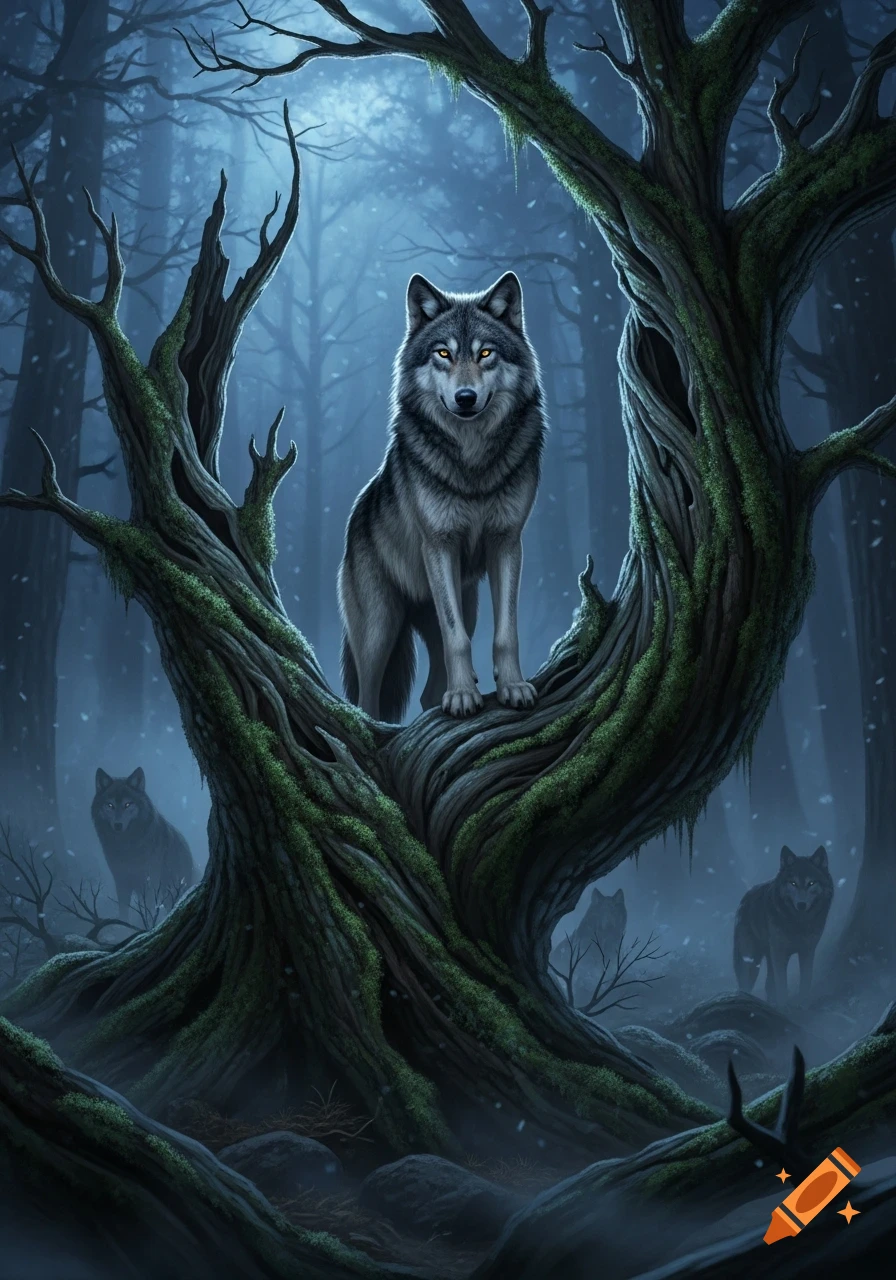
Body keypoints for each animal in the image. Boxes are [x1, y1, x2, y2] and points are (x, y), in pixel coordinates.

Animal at [92, 767, 197, 919]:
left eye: (127, 804)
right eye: (110, 805)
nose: (118, 825)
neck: (126, 846)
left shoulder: (150, 883)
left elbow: (148, 911)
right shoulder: (121, 881)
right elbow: (123, 912)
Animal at [338, 271, 547, 721]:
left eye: (485, 352)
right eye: (443, 354)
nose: (465, 398)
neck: (472, 463)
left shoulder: (507, 543)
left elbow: (506, 632)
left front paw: (513, 687)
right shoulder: (439, 546)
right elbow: (457, 640)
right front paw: (465, 697)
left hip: (464, 605)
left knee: (427, 693)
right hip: (379, 629)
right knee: (366, 698)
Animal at [733, 845, 833, 1005]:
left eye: (811, 883)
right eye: (793, 883)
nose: (801, 905)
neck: (798, 924)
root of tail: (745, 896)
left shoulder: (808, 951)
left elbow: (806, 980)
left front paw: (803, 1003)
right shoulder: (779, 954)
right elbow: (782, 986)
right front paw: (784, 1006)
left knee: (768, 984)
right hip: (750, 962)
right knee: (745, 986)